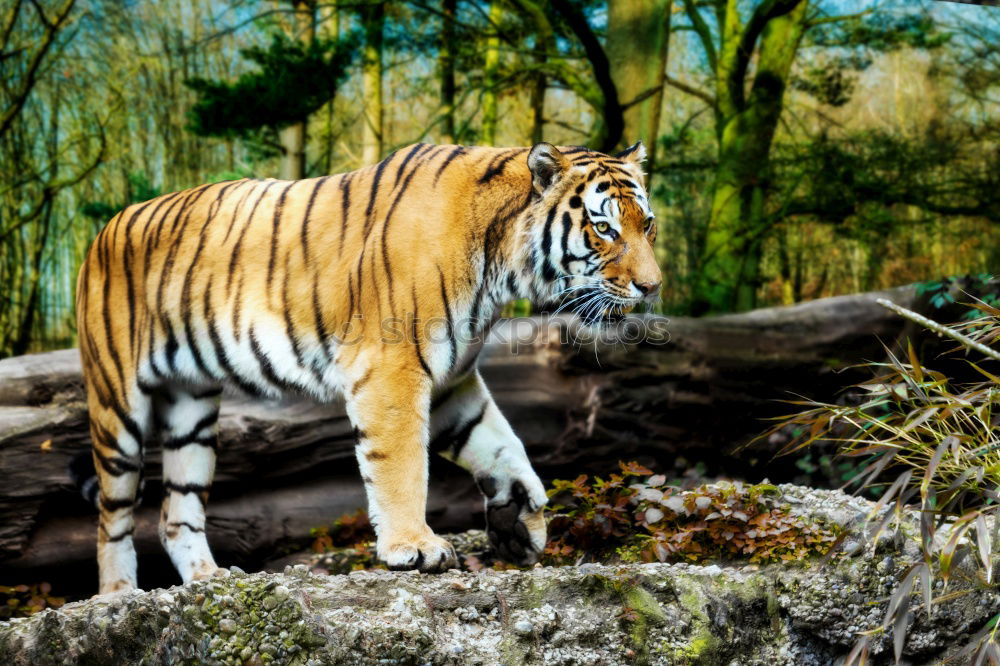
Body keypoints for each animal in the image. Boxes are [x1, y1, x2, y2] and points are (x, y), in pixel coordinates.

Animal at [74, 139, 660, 592]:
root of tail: (103, 230)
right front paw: (414, 547)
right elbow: (402, 464)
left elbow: (500, 442)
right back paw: (118, 594)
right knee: (112, 516)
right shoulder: (391, 367)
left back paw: (209, 580)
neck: (501, 264)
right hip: (118, 405)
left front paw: (518, 514)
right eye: (605, 230)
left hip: (190, 410)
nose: (652, 288)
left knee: (175, 513)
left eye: (647, 225)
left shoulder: (451, 380)